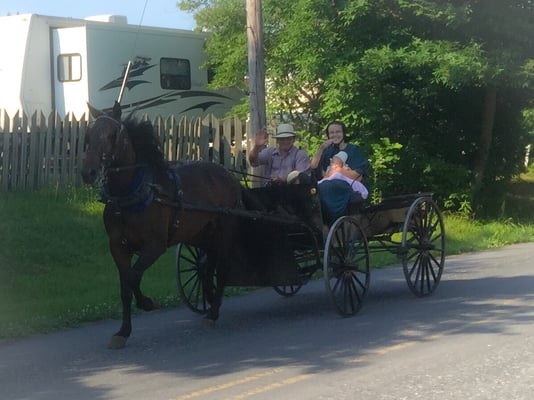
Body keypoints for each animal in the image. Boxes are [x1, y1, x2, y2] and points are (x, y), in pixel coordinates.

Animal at [81, 104, 243, 348]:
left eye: (112, 135)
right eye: (89, 136)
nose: (88, 172)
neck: (131, 195)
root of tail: (228, 173)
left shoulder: (155, 246)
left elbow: (132, 277)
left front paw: (148, 303)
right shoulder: (118, 247)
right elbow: (125, 286)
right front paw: (123, 331)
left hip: (224, 231)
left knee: (222, 268)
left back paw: (213, 313)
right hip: (202, 234)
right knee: (207, 266)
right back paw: (210, 301)